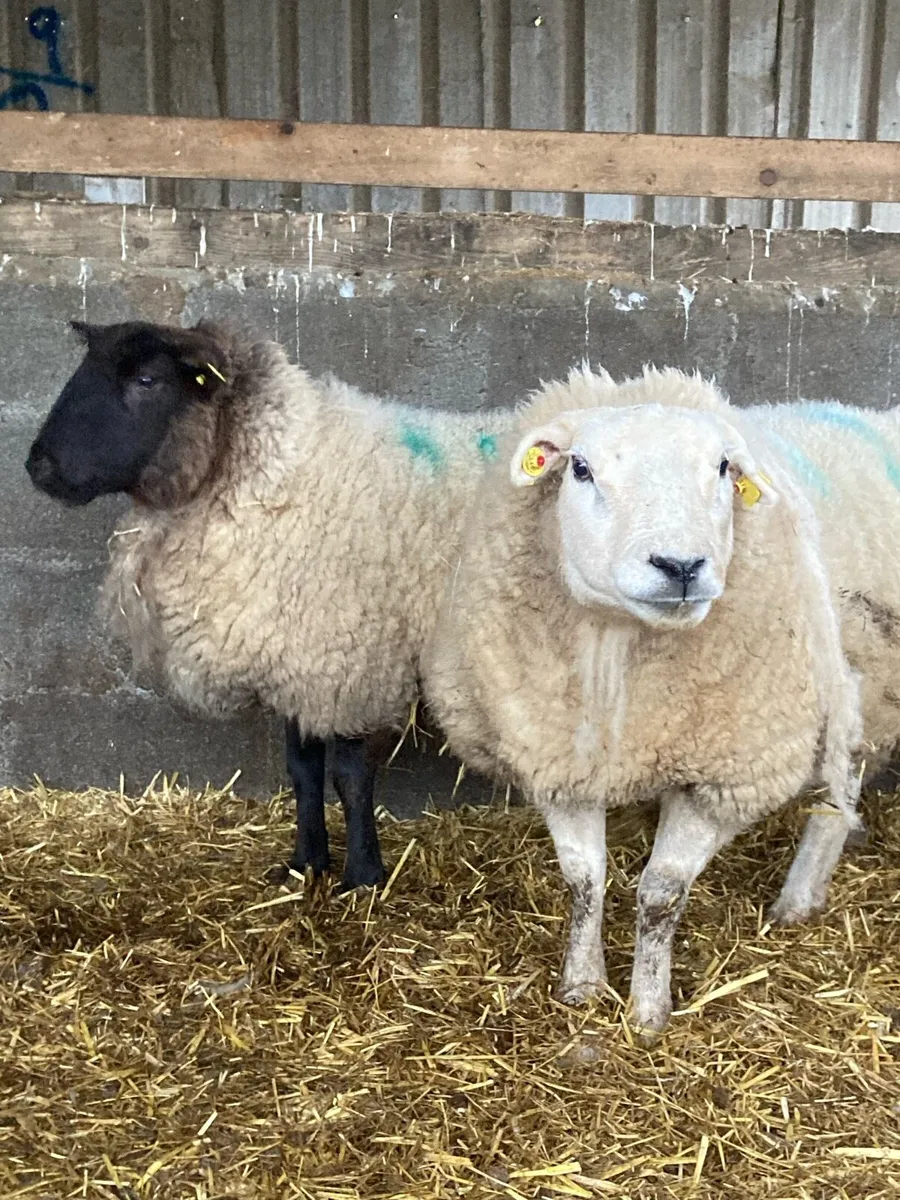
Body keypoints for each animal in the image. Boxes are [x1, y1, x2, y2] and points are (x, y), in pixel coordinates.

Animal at [26, 319, 514, 891]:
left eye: (147, 379)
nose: (38, 466)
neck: (273, 473)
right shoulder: (298, 656)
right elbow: (303, 773)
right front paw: (305, 865)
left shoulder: (351, 664)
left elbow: (349, 777)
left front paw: (363, 878)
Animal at [422, 364, 890, 1034]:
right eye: (581, 468)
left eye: (723, 468)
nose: (681, 565)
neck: (616, 651)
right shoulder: (561, 762)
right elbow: (583, 881)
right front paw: (582, 986)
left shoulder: (724, 778)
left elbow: (661, 894)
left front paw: (648, 1011)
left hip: (855, 689)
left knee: (838, 792)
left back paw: (799, 897)